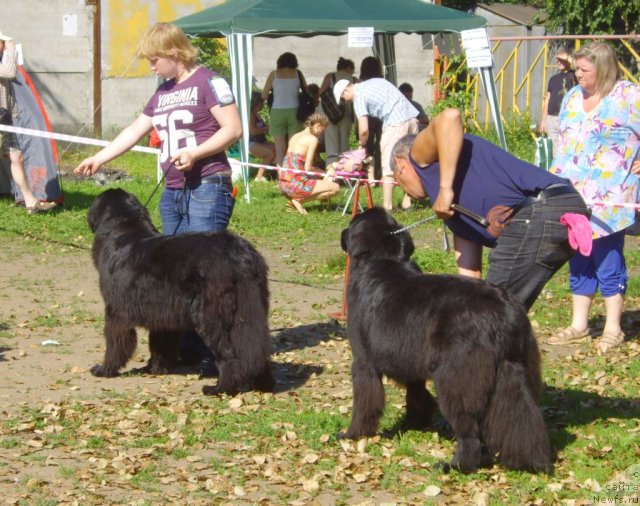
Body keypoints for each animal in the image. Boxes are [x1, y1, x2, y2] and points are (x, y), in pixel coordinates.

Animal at [87, 189, 272, 396]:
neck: (123, 230)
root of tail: (240, 253)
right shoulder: (163, 315)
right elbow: (160, 344)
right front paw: (154, 368)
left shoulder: (116, 312)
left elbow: (114, 344)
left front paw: (104, 370)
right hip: (251, 312)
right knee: (255, 347)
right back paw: (259, 382)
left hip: (211, 317)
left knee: (228, 355)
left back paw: (220, 388)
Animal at [338, 208, 552, 472]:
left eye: (352, 223)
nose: (342, 232)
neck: (382, 260)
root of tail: (503, 312)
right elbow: (416, 393)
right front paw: (414, 422)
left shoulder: (363, 361)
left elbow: (364, 402)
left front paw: (352, 434)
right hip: (517, 370)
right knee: (523, 417)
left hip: (455, 378)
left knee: (469, 432)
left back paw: (456, 465)